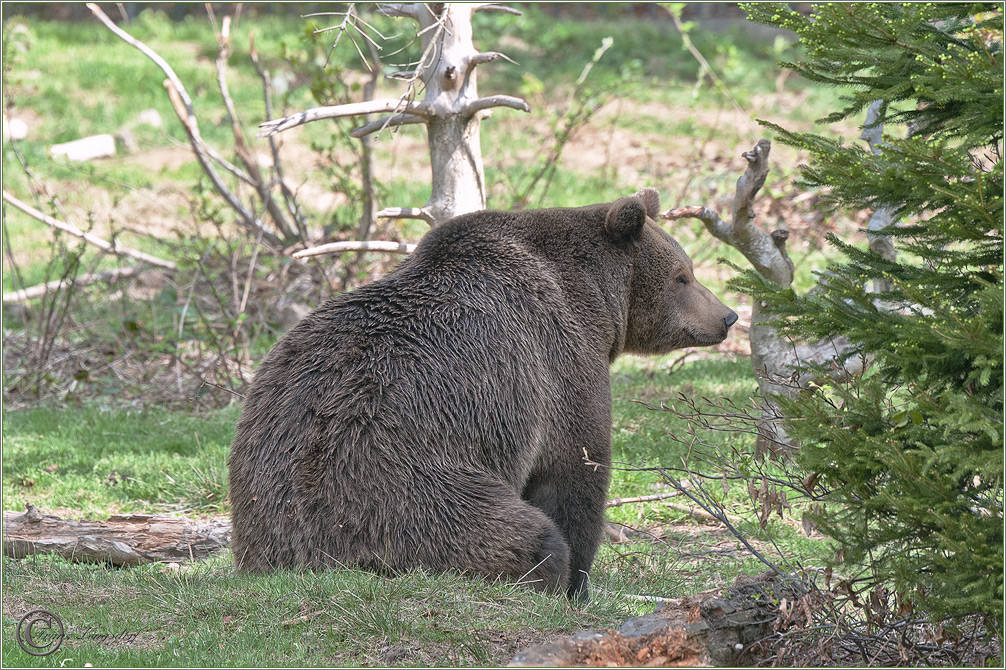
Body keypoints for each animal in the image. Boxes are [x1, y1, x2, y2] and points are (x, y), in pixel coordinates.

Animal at [228, 189, 736, 599]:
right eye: (682, 275)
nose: (728, 316)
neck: (596, 299)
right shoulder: (561, 365)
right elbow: (574, 473)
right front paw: (578, 584)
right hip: (402, 493)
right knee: (522, 536)